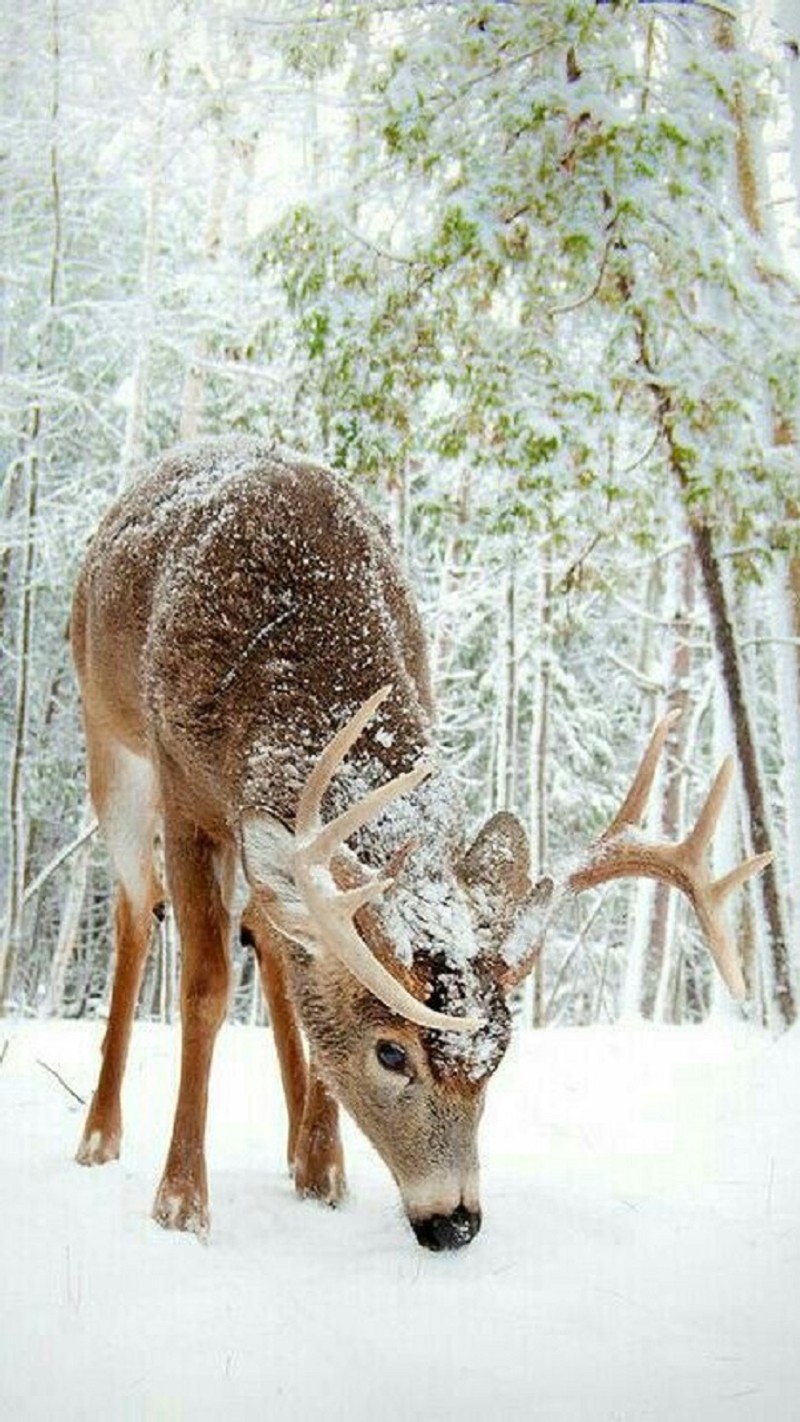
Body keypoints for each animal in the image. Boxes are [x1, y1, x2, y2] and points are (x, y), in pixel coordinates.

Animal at [72, 437, 773, 1251]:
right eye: (390, 1051)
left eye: (500, 1055)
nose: (454, 1221)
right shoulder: (186, 793)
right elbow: (205, 990)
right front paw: (181, 1201)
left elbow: (306, 975)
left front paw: (323, 1169)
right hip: (109, 744)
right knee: (134, 910)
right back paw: (99, 1134)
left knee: (274, 938)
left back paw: (304, 1152)